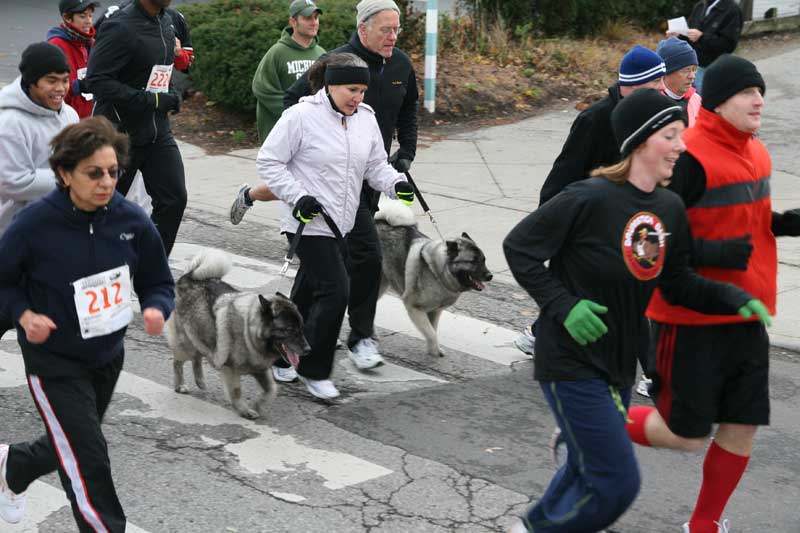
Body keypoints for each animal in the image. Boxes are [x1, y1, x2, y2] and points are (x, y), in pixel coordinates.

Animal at [166, 249, 310, 420]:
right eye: (289, 330)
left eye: (301, 328)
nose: (308, 349)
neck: (248, 330)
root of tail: (188, 277)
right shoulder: (231, 370)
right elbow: (236, 392)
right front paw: (244, 410)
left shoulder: (261, 370)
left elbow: (271, 390)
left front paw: (256, 405)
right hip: (186, 342)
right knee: (178, 362)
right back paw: (180, 385)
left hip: (201, 334)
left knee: (197, 357)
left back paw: (200, 381)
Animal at [376, 202, 494, 356]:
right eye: (472, 262)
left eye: (483, 260)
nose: (490, 276)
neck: (438, 271)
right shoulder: (414, 307)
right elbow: (431, 333)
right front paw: (434, 350)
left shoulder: (434, 311)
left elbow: (433, 330)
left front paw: (434, 349)